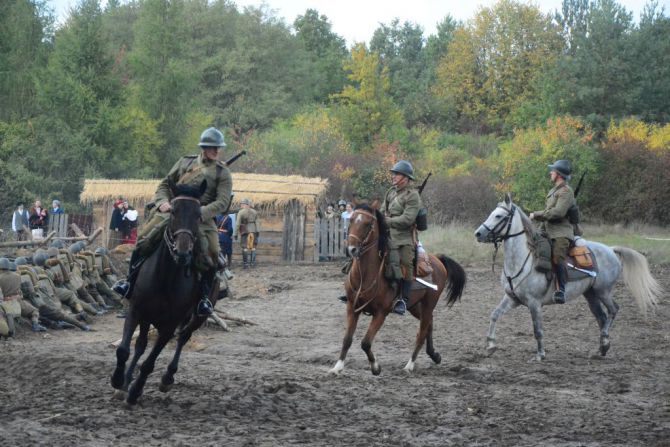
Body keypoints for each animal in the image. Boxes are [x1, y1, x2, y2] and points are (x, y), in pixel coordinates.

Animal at [111, 179, 218, 406]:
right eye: (173, 211)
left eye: (198, 214)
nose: (183, 252)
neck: (165, 277)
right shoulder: (136, 310)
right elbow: (124, 349)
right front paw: (118, 381)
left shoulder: (169, 326)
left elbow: (150, 363)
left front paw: (135, 392)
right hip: (148, 317)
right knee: (141, 345)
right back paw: (126, 381)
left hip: (197, 317)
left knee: (183, 338)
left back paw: (167, 378)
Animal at [330, 205, 468, 376]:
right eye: (351, 220)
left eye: (368, 224)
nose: (351, 249)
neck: (366, 275)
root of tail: (437, 259)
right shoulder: (352, 307)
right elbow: (347, 339)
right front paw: (338, 366)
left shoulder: (381, 313)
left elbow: (365, 342)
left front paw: (375, 367)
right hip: (414, 306)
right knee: (429, 323)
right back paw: (434, 355)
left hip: (429, 303)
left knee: (422, 332)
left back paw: (410, 365)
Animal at [476, 196, 664, 360]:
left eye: (499, 216)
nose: (478, 233)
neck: (523, 259)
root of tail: (611, 249)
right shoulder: (512, 298)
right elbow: (494, 315)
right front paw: (490, 345)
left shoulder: (534, 303)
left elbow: (537, 330)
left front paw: (540, 355)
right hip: (590, 294)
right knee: (602, 317)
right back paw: (601, 349)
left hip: (603, 291)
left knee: (613, 310)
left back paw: (604, 342)